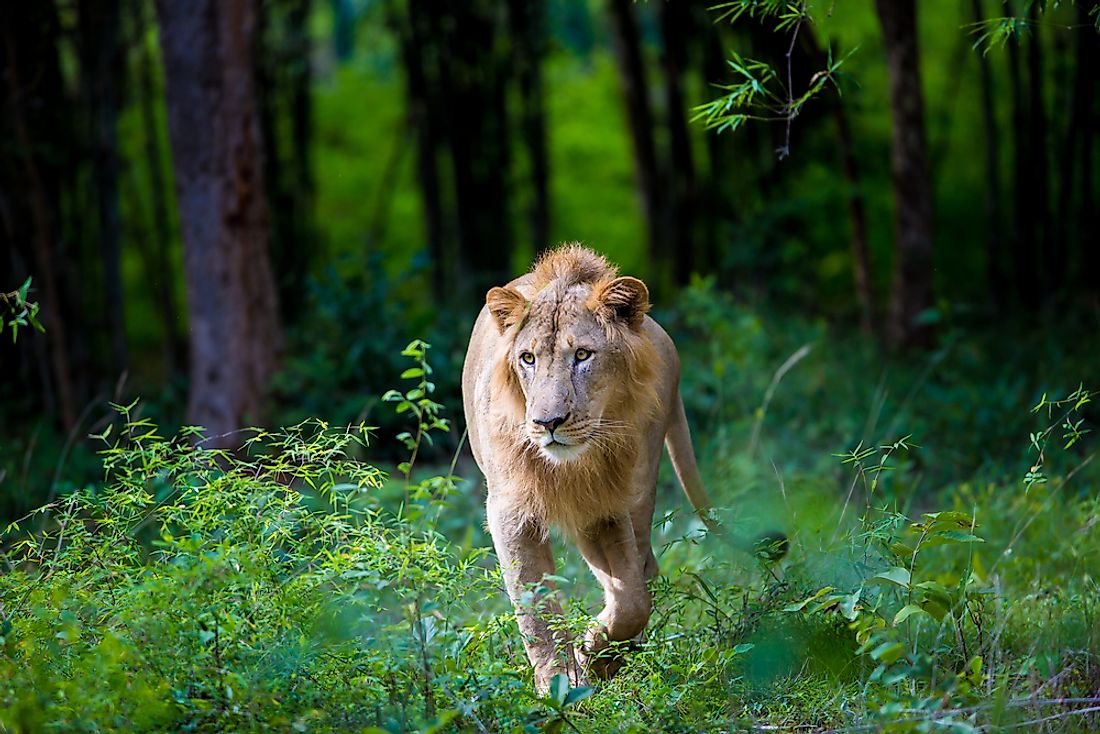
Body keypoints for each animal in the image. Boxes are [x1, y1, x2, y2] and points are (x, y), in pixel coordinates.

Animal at [464, 245, 783, 691]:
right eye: (527, 359)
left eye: (582, 355)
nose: (547, 422)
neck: (572, 467)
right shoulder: (512, 510)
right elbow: (534, 602)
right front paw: (558, 681)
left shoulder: (608, 506)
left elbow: (631, 600)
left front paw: (594, 655)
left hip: (642, 486)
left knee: (646, 567)